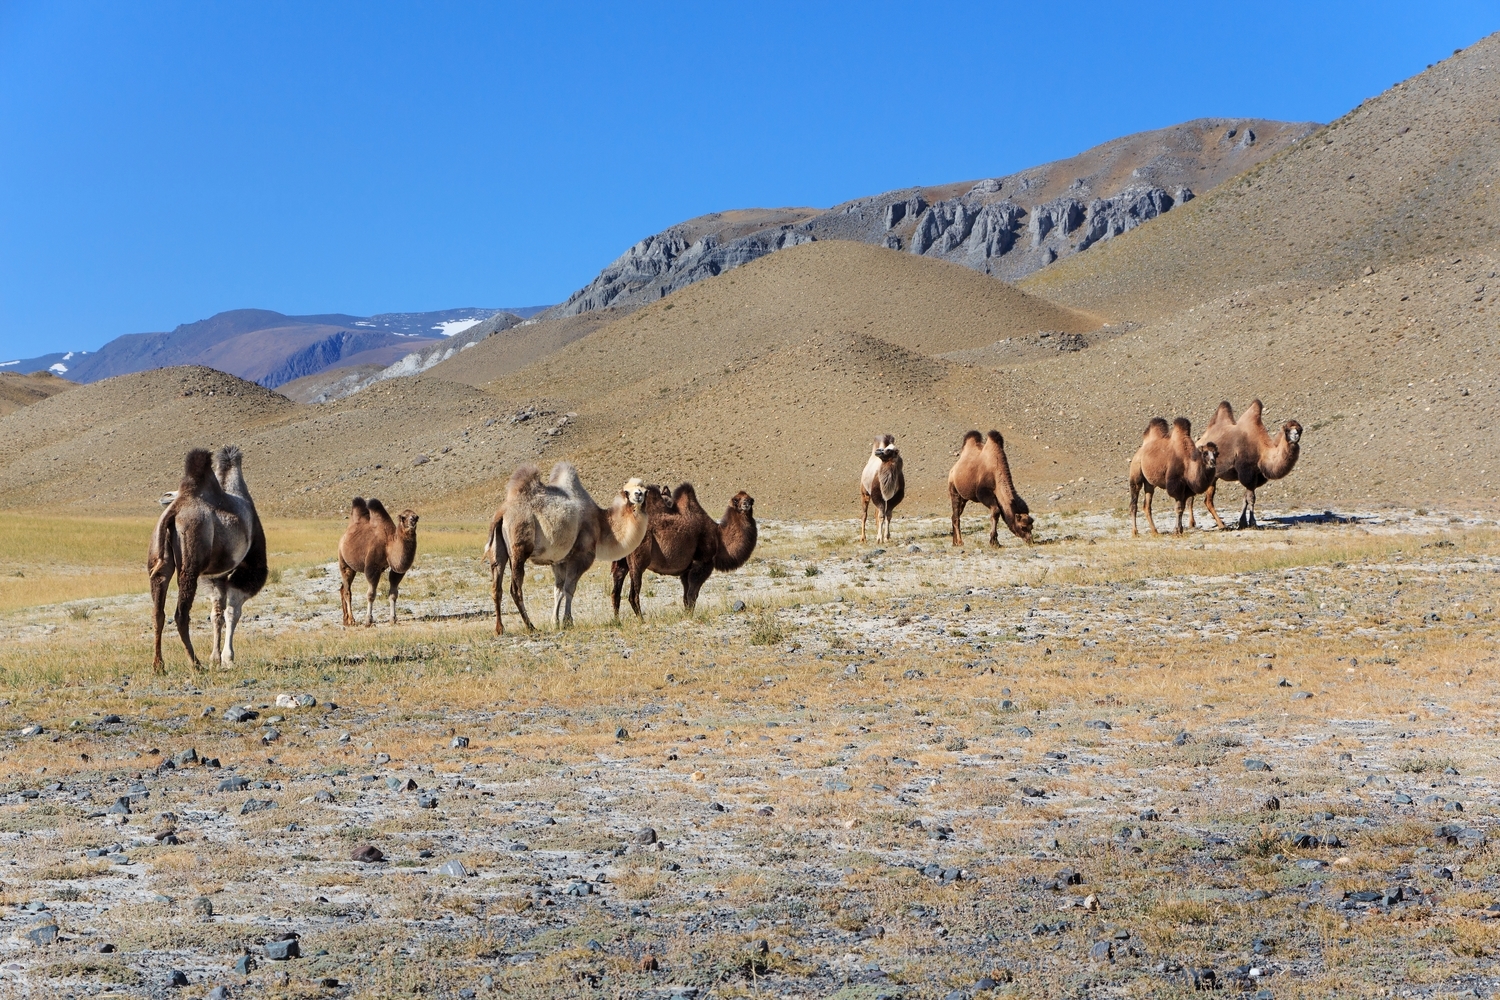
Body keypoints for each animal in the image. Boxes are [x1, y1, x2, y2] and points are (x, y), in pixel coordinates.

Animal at [147, 446, 262, 671]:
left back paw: (159, 665)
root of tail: (174, 512)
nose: (165, 497)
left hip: (159, 558)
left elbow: (217, 613)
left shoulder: (215, 575)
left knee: (158, 612)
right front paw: (227, 658)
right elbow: (232, 612)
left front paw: (216, 658)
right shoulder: (247, 566)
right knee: (181, 614)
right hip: (191, 561)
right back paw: (195, 663)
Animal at [336, 497, 417, 626]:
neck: (389, 545)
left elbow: (393, 594)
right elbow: (371, 595)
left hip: (352, 567)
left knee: (342, 588)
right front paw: (368, 620)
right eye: (403, 517)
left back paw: (345, 620)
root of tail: (344, 537)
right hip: (343, 561)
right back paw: (352, 620)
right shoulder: (372, 568)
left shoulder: (396, 570)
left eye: (416, 517)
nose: (413, 520)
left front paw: (393, 618)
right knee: (347, 591)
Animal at [480, 464, 645, 632]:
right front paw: (568, 621)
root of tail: (502, 513)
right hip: (519, 546)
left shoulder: (559, 561)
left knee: (496, 587)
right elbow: (569, 588)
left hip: (498, 550)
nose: (638, 495)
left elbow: (558, 590)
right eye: (627, 491)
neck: (601, 523)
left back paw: (500, 629)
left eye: (644, 490)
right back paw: (530, 626)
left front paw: (555, 622)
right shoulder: (581, 555)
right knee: (515, 588)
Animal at [615, 482, 762, 617]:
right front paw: (690, 617)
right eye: (736, 500)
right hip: (638, 560)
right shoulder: (702, 563)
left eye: (751, 499)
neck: (719, 538)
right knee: (633, 594)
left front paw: (686, 614)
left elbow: (686, 597)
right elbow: (692, 595)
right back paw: (641, 620)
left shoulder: (686, 570)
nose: (746, 504)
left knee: (616, 589)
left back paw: (617, 621)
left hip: (621, 559)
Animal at [1194, 395, 1302, 527]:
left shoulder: (1256, 476)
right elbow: (1251, 498)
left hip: (1213, 477)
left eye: (1300, 429)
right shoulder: (1247, 472)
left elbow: (1245, 498)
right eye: (1287, 430)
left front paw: (1242, 522)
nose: (1295, 436)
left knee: (1206, 499)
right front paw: (1253, 523)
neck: (1261, 451)